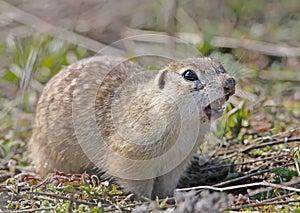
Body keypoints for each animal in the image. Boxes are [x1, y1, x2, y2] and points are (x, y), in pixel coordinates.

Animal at [28, 55, 234, 198]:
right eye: (189, 75)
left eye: (220, 66)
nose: (230, 82)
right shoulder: (132, 160)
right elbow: (138, 184)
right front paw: (147, 201)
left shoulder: (176, 163)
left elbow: (166, 184)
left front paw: (168, 198)